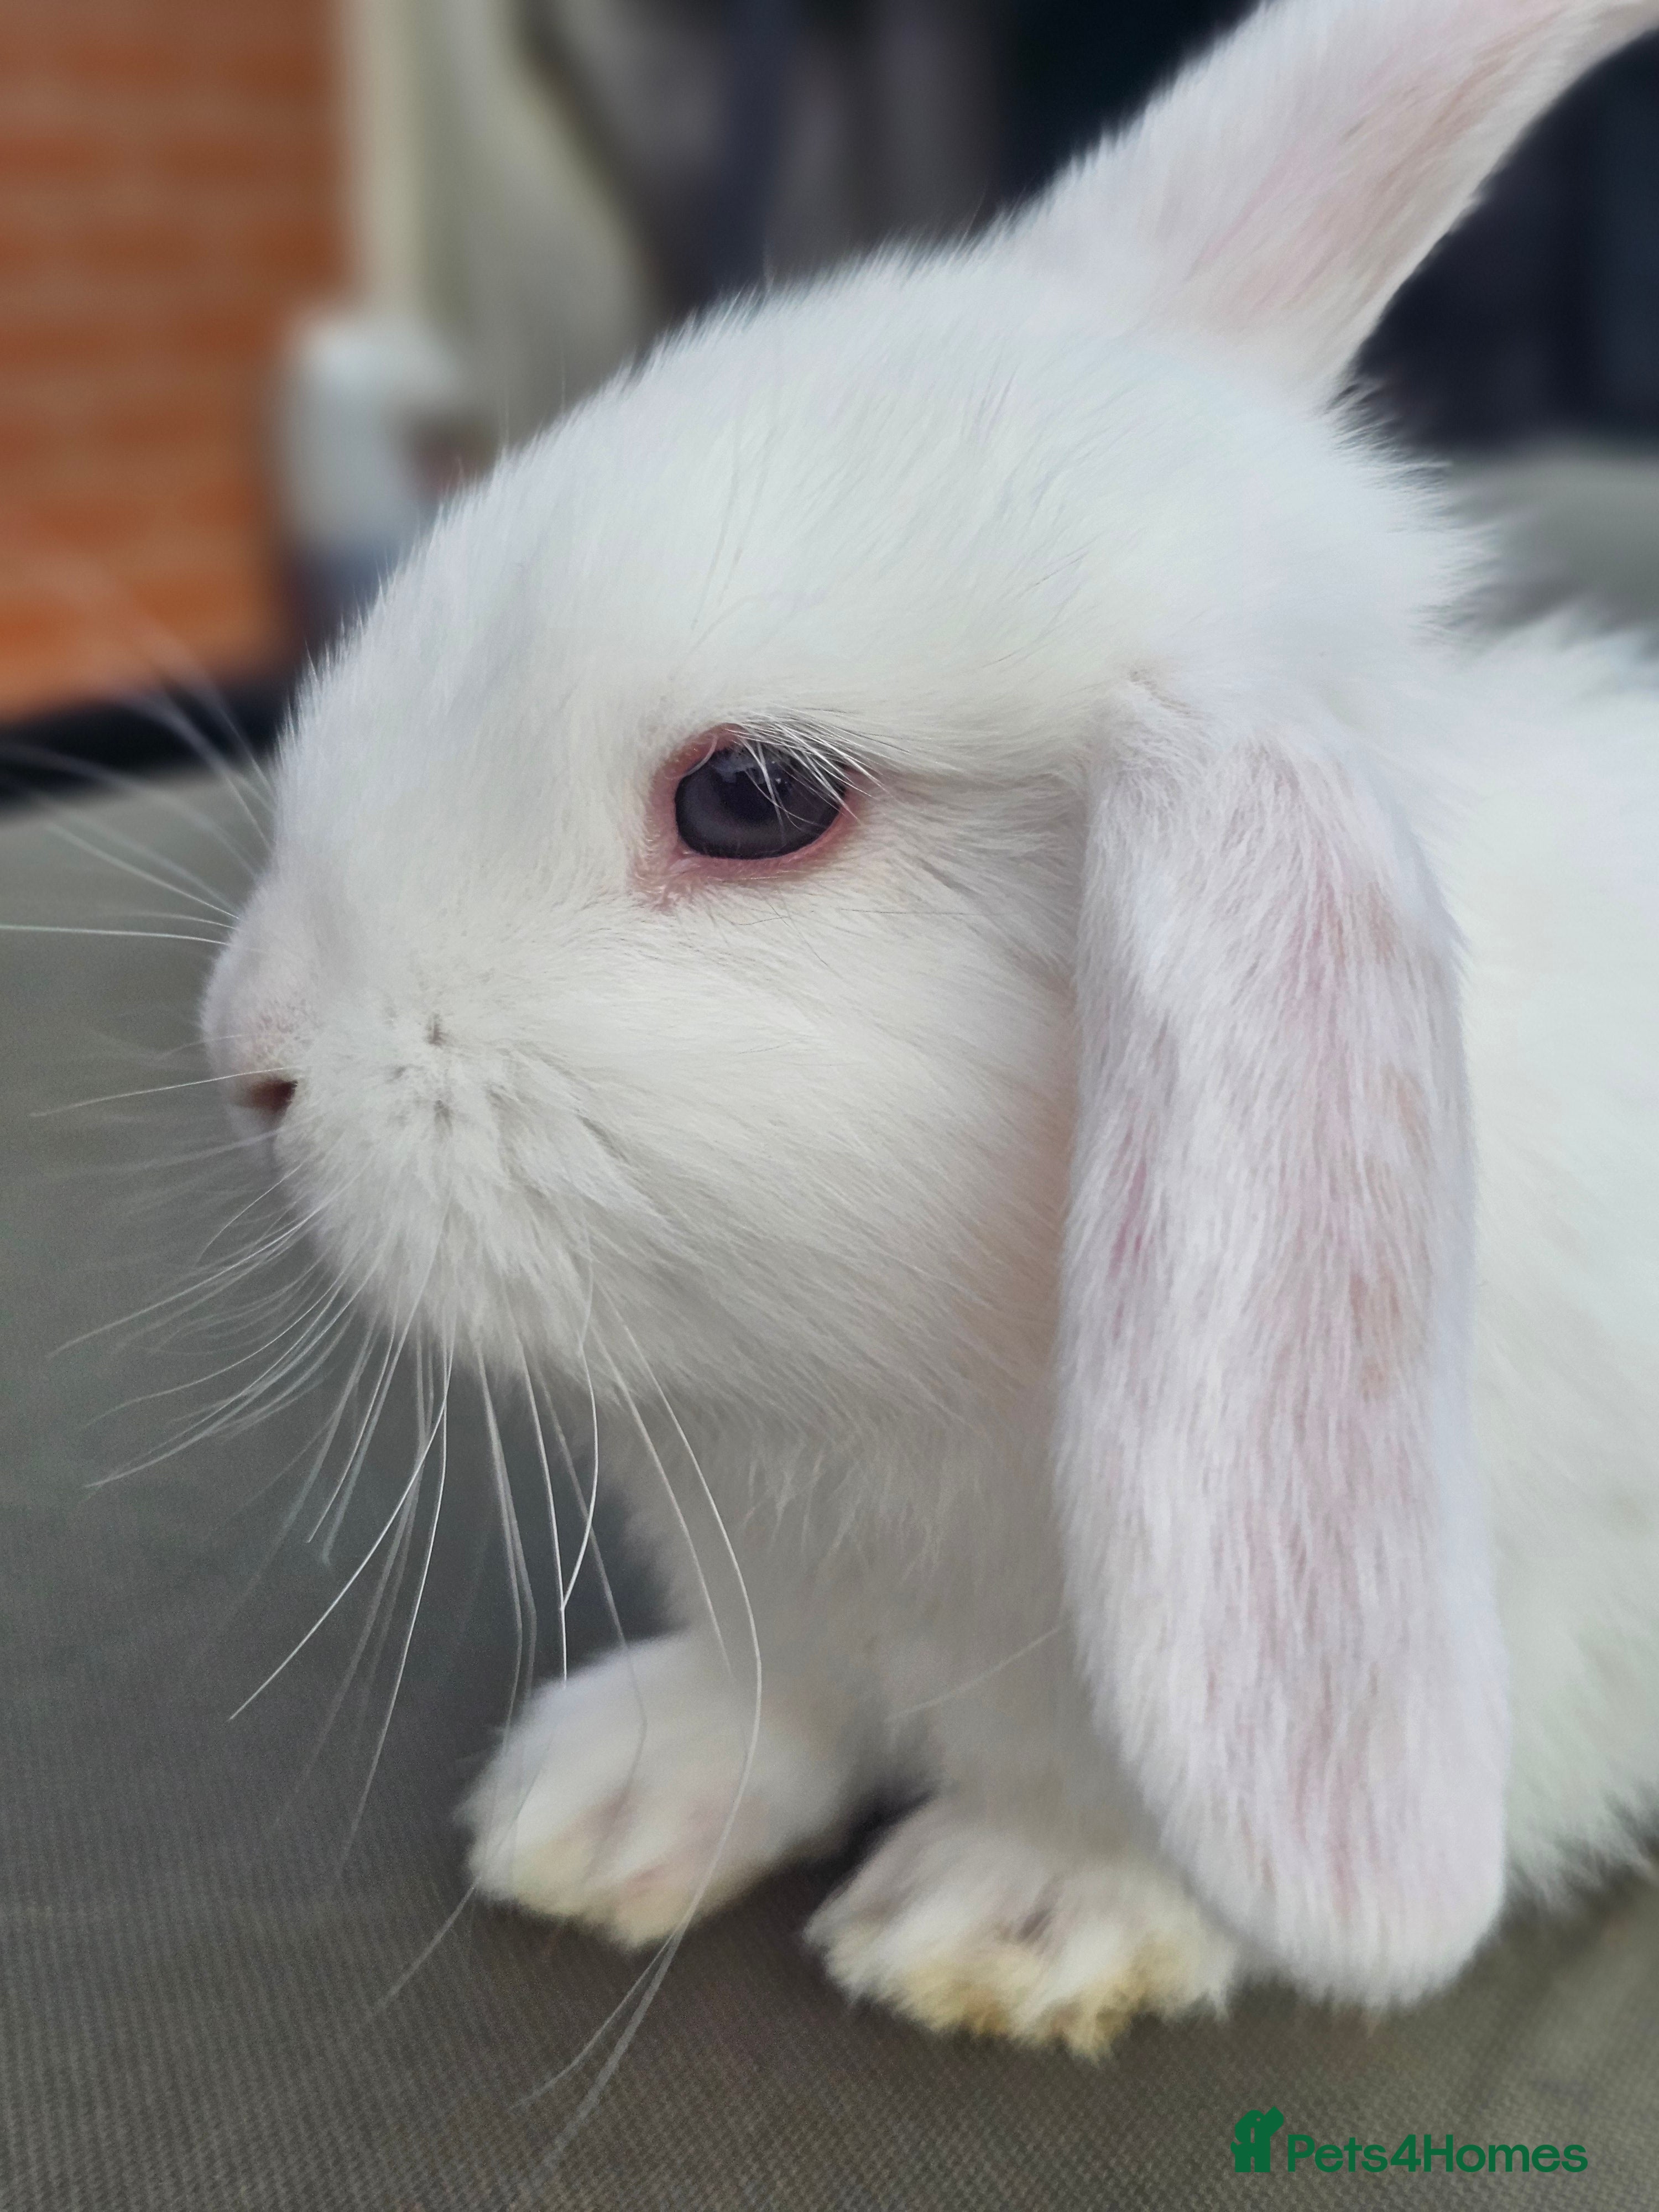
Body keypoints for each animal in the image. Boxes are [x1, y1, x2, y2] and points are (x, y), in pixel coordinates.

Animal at [204, 0, 1659, 2053]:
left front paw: (1013, 1920)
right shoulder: (788, 1607)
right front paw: (607, 1800)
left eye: (749, 800)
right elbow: (770, 1703)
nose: (251, 1047)